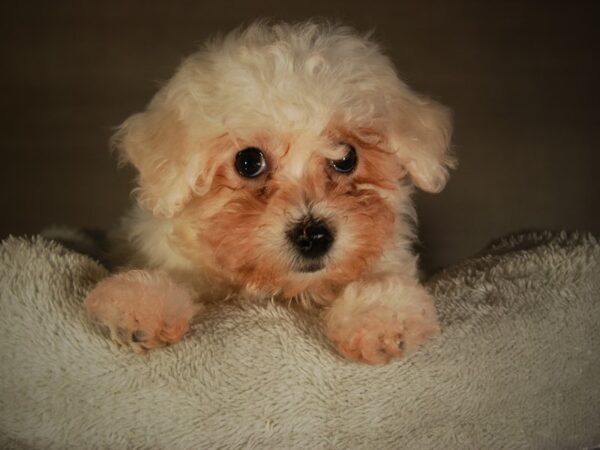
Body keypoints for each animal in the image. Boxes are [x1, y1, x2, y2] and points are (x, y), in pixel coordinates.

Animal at [83, 22, 450, 366]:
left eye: (347, 157)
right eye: (248, 162)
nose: (313, 236)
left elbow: (381, 281)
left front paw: (380, 318)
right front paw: (138, 305)